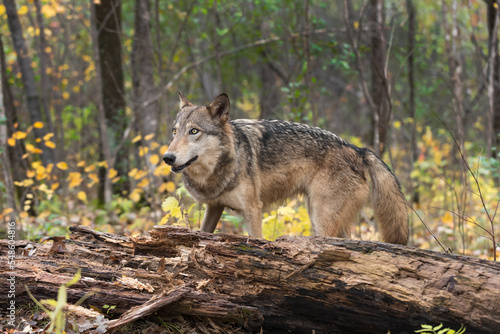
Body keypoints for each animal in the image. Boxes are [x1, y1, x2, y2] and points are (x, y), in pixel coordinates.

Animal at [164, 92, 410, 244]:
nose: (167, 157)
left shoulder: (253, 210)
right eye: (175, 131)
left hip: (321, 218)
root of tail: (358, 149)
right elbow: (202, 232)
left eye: (194, 131)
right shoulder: (214, 207)